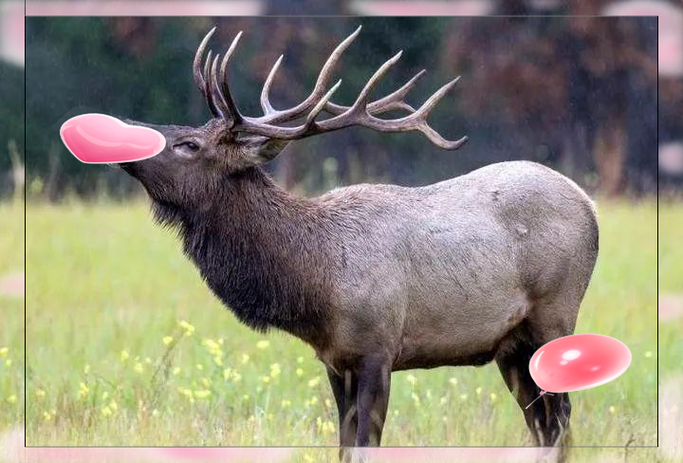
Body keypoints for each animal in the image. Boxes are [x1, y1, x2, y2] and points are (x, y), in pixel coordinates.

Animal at [116, 26, 599, 463]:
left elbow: (365, 446)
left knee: (562, 417)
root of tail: (590, 204)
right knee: (544, 425)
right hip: (512, 346)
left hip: (555, 314)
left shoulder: (377, 348)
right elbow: (344, 446)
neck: (316, 282)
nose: (126, 125)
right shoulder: (335, 359)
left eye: (189, 144)